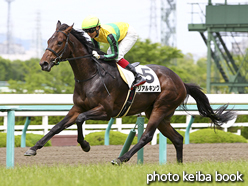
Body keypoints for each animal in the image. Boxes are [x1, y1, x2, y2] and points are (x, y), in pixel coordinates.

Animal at [24, 21, 235, 165]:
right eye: (48, 40)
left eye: (60, 42)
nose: (43, 63)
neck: (91, 75)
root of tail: (180, 81)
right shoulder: (76, 107)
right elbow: (57, 127)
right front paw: (33, 148)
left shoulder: (106, 111)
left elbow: (80, 120)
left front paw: (85, 145)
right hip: (158, 112)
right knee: (177, 138)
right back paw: (179, 165)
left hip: (161, 107)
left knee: (147, 136)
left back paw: (121, 158)